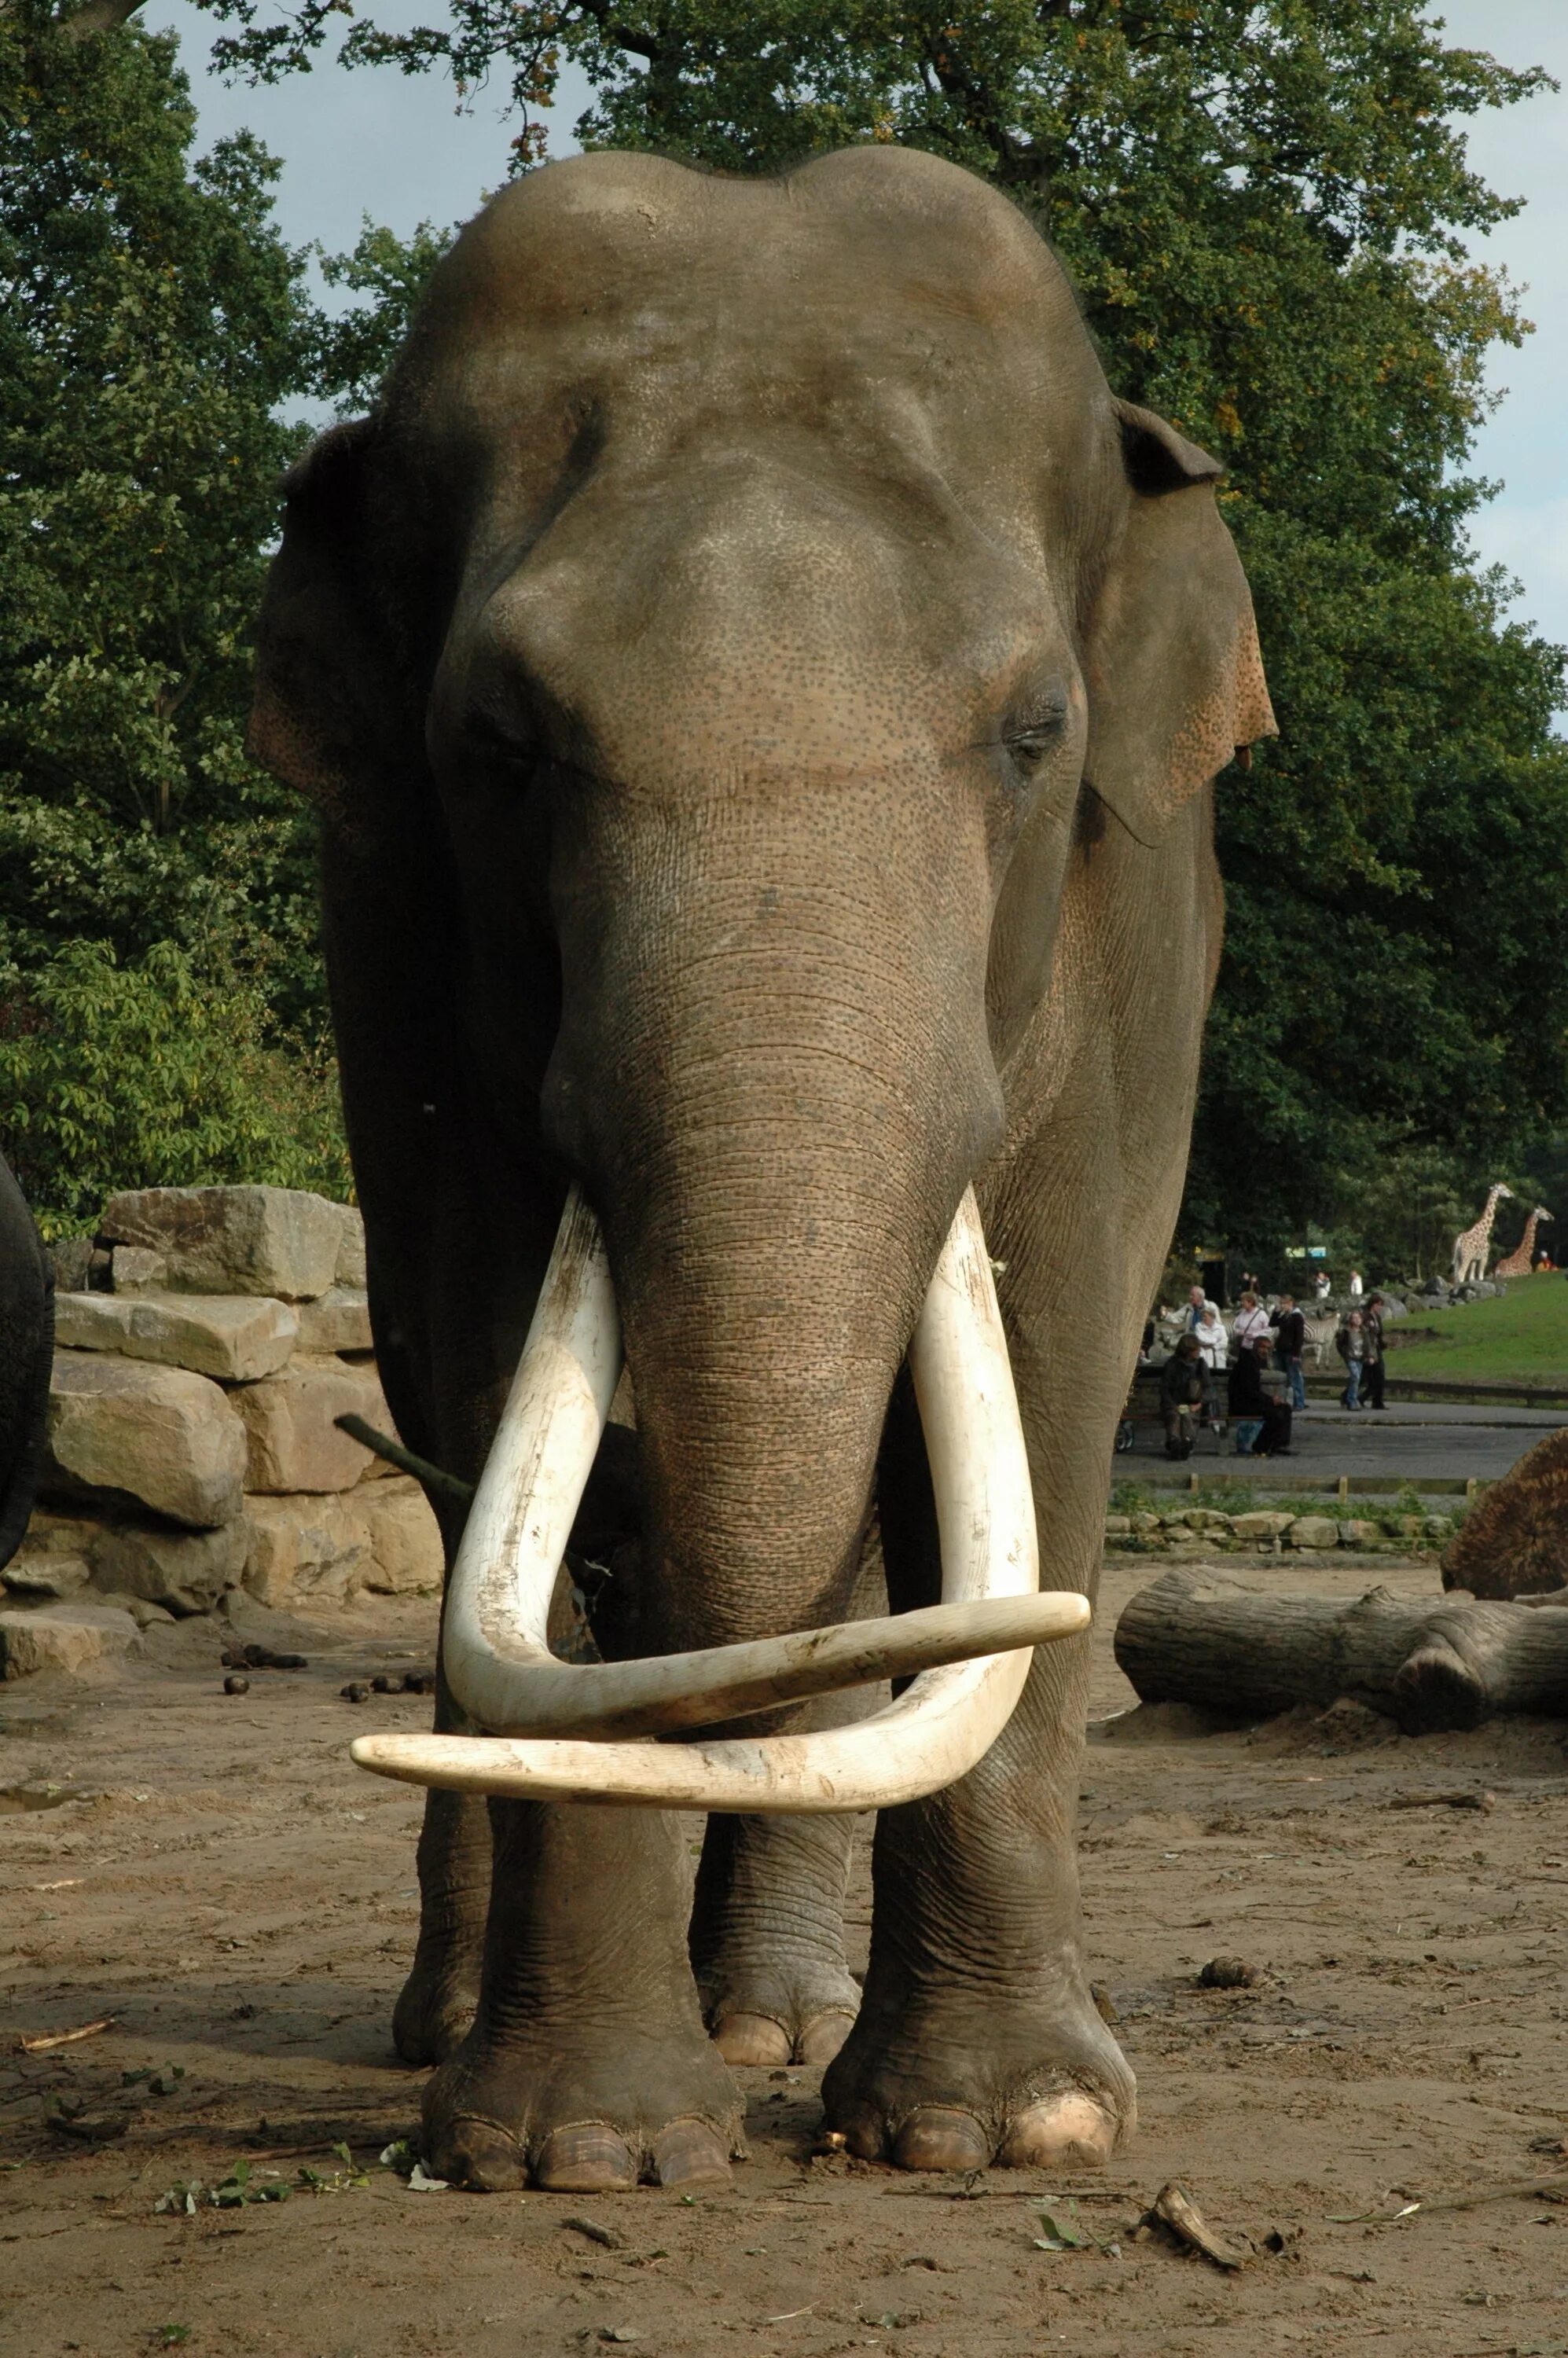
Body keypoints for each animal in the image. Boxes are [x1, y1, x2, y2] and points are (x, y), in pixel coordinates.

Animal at [248, 147, 1273, 2198]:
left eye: (1038, 735)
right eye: (499, 744)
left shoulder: (1138, 930)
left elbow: (1056, 1378)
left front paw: (1004, 2131)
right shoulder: (394, 937)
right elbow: (481, 1351)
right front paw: (579, 2151)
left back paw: (776, 2027)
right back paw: (472, 2029)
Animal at [1452, 1179, 1509, 1292]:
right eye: (1503, 1188)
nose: (1511, 1194)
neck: (1485, 1230)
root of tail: (1459, 1241)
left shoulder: (1475, 1259)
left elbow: (1472, 1278)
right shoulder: (1484, 1256)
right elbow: (1481, 1277)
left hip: (1458, 1258)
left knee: (1456, 1275)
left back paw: (1454, 1293)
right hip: (1466, 1257)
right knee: (1460, 1274)